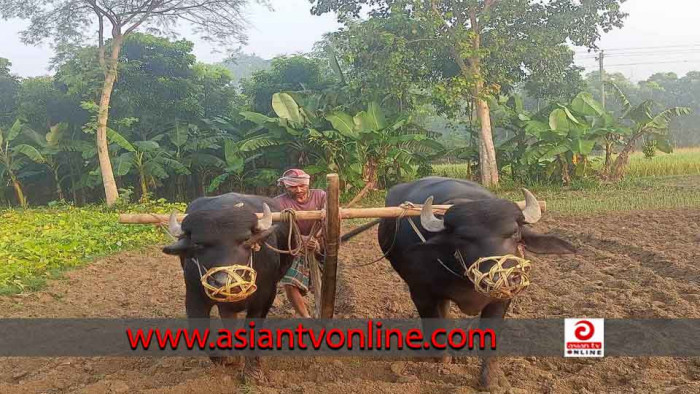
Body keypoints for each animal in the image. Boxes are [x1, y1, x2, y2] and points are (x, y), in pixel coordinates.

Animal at [163, 192, 294, 384]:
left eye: (245, 240)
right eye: (198, 244)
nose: (224, 282)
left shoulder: (266, 296)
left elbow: (253, 329)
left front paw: (253, 373)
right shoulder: (194, 296)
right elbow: (200, 329)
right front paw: (225, 358)